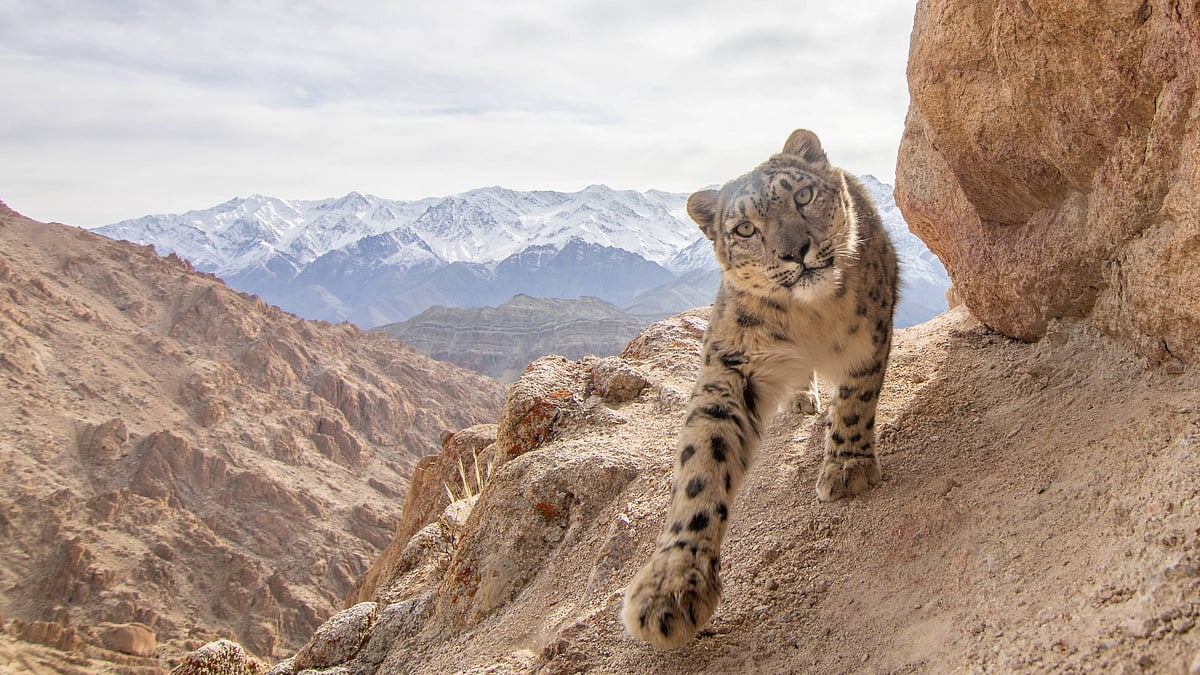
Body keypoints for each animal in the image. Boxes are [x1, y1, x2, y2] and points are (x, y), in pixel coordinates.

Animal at [621, 129, 899, 649]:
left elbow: (856, 401)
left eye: (803, 196)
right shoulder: (732, 367)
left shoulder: (869, 335)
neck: (811, 319)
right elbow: (702, 463)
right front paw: (673, 587)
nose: (796, 250)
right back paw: (802, 397)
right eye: (745, 229)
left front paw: (847, 467)